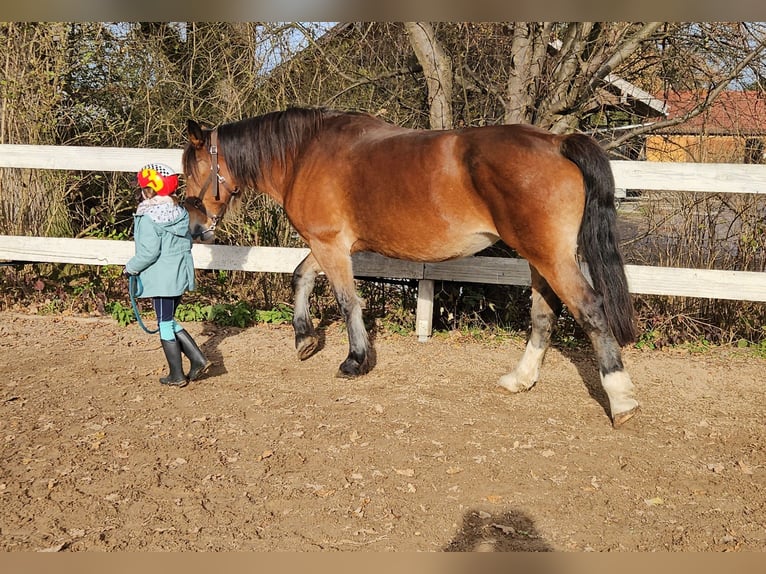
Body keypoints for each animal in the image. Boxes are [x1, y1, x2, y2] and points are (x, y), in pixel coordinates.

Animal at [183, 110, 640, 430]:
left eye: (192, 169)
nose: (195, 229)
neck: (305, 154)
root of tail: (557, 142)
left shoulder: (330, 244)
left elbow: (347, 301)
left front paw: (355, 359)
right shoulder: (330, 244)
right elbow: (302, 275)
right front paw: (305, 339)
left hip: (550, 255)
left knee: (589, 309)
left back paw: (621, 399)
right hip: (541, 257)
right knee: (545, 313)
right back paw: (521, 379)